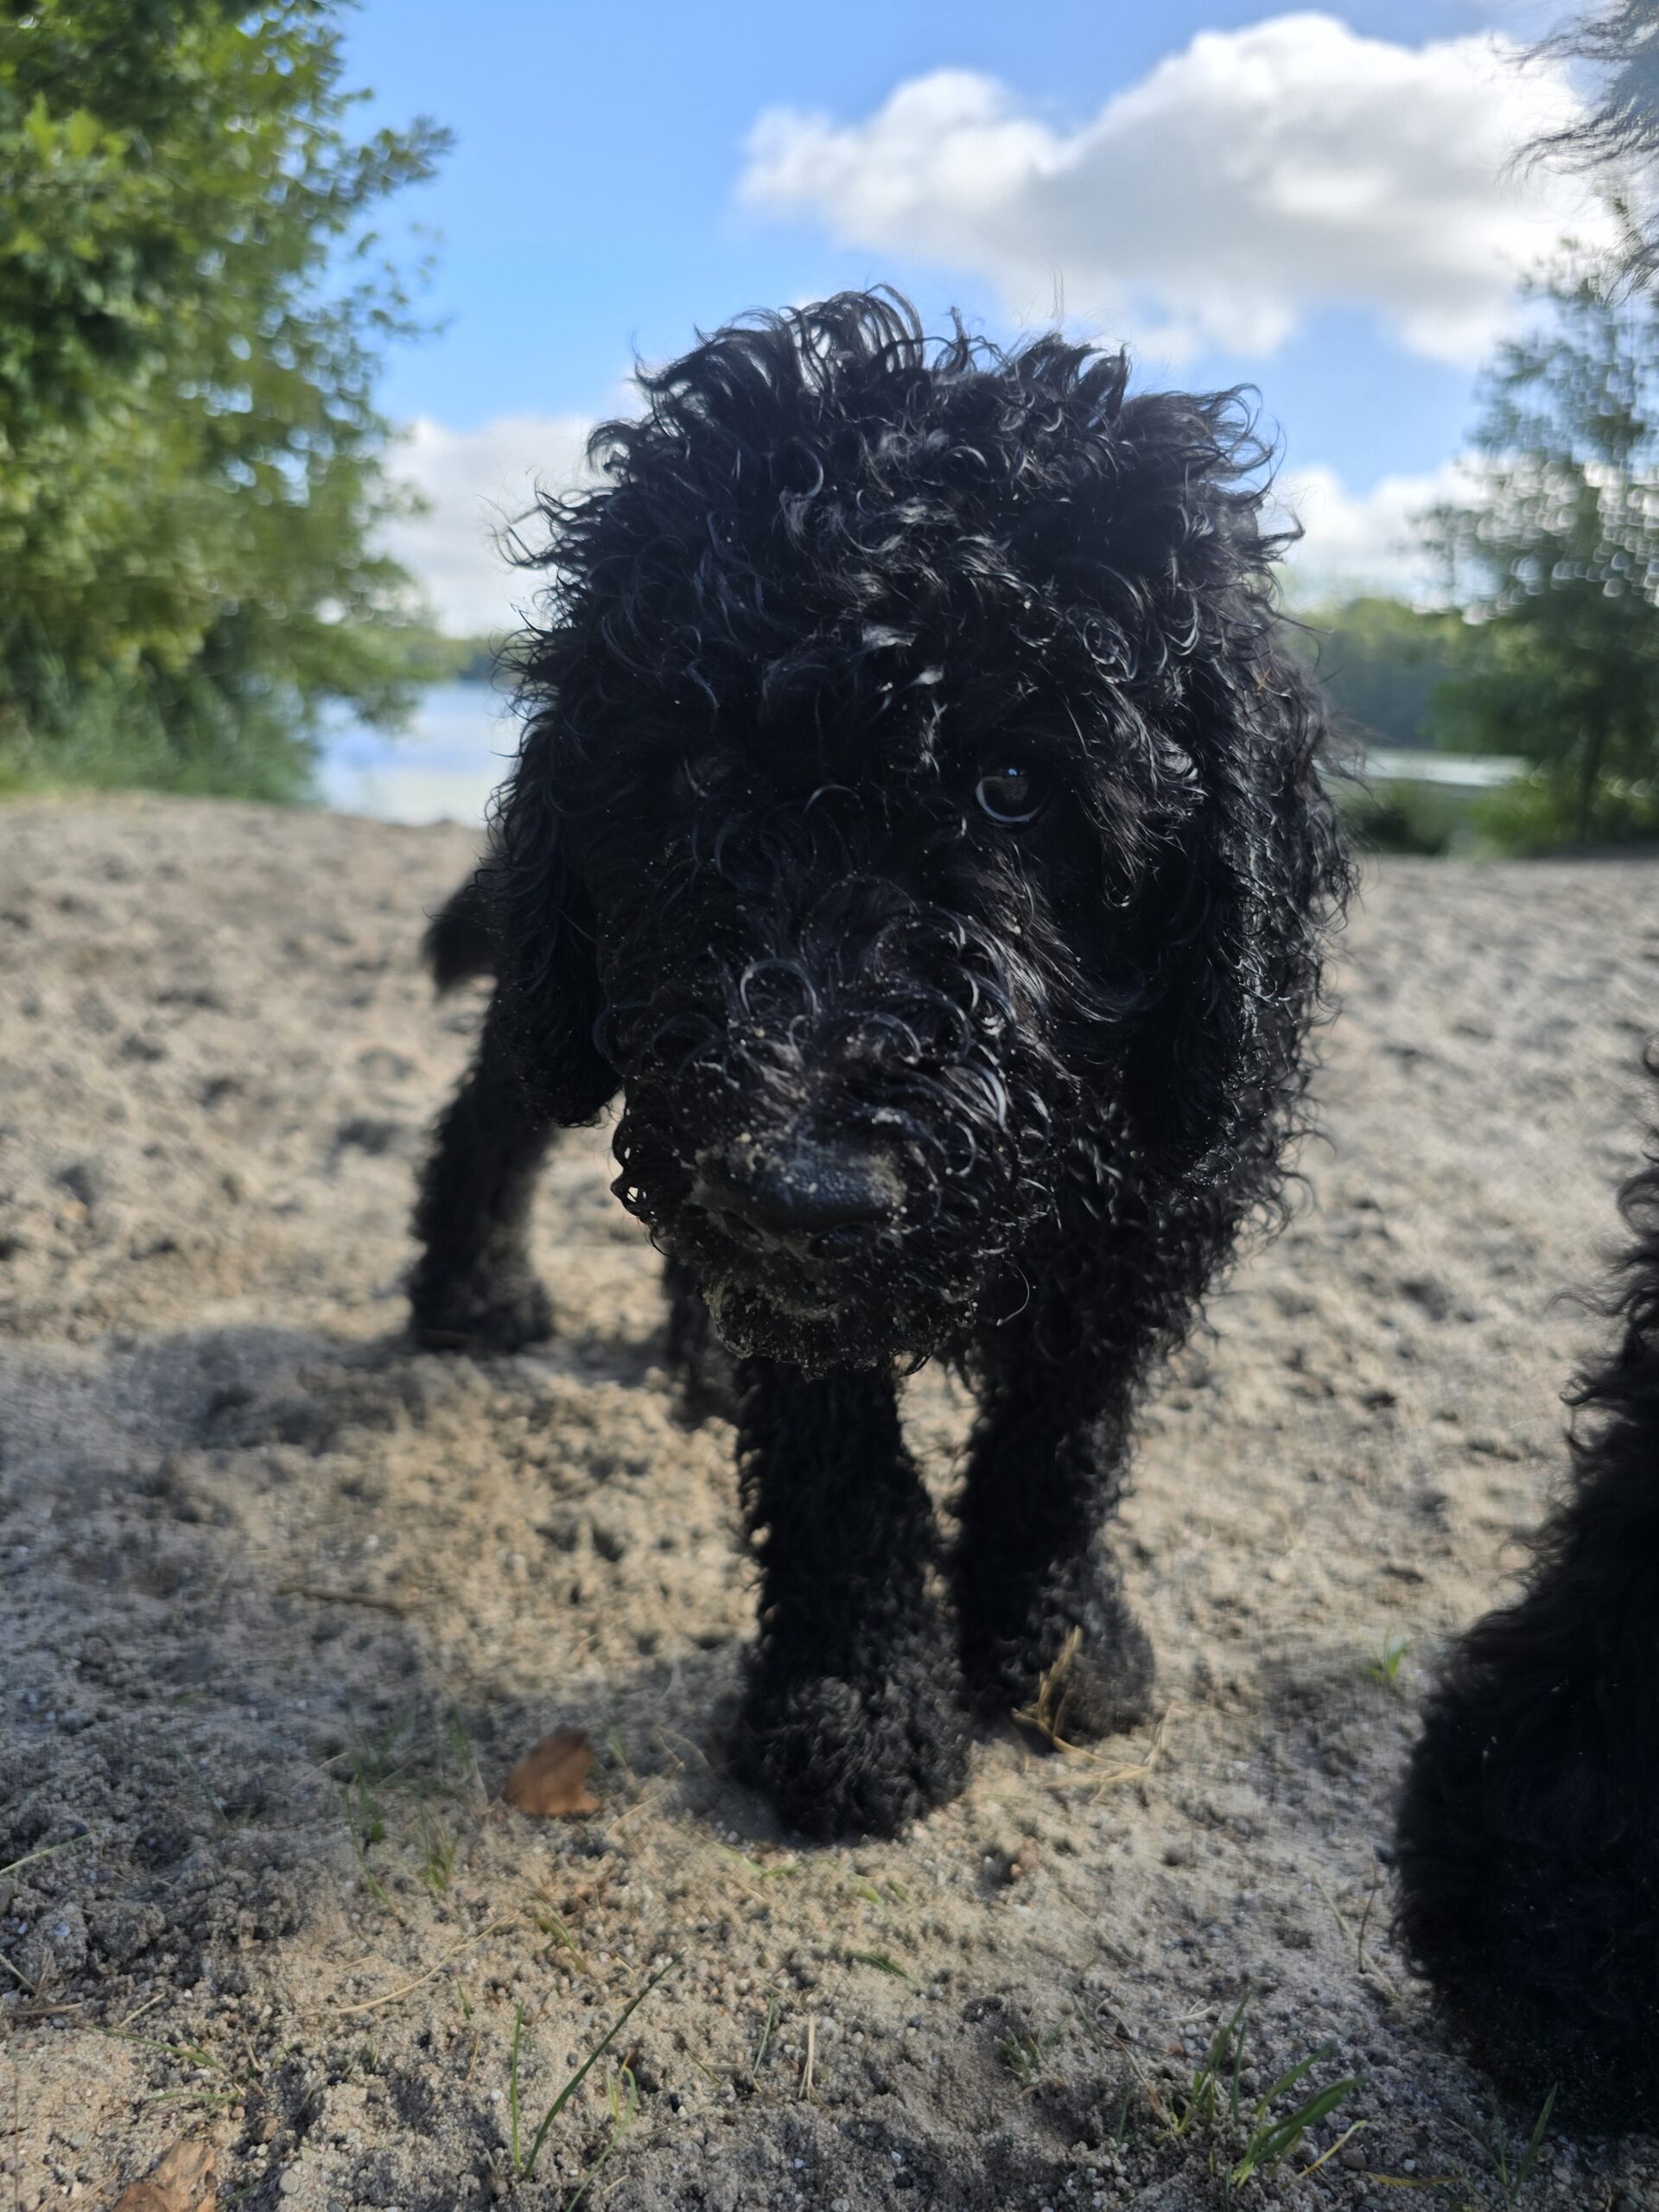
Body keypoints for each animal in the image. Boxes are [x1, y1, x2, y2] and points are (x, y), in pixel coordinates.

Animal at [408, 291, 1349, 1839]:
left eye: (1017, 785)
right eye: (704, 775)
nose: (797, 1184)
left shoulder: (1157, 1209)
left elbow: (1063, 1442)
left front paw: (1058, 1643)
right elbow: (839, 1466)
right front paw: (853, 1704)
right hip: (574, 1003)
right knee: (494, 1112)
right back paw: (468, 1294)